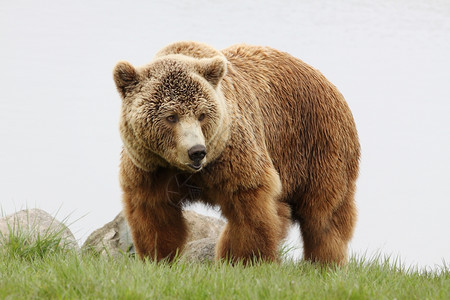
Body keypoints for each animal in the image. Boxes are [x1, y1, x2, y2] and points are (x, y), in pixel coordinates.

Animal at [114, 41, 360, 266]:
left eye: (202, 115)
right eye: (171, 116)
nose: (196, 152)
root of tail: (327, 82)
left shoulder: (232, 155)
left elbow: (250, 208)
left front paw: (245, 260)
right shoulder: (150, 167)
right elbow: (154, 213)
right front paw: (158, 258)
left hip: (319, 146)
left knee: (324, 216)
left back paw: (325, 263)